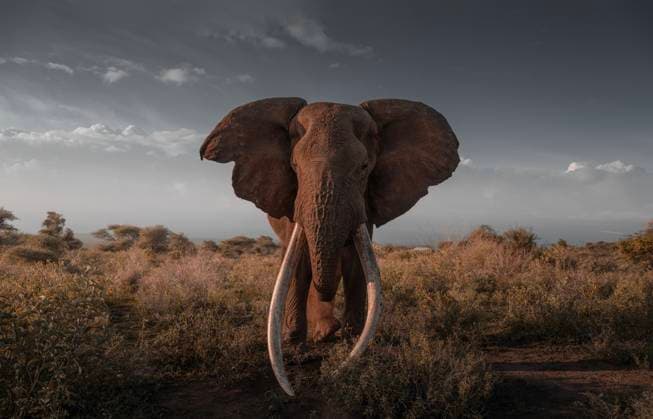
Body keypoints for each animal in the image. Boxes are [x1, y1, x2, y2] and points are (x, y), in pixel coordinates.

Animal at [200, 98, 460, 395]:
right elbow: (300, 264)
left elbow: (356, 263)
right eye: (294, 166)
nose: (295, 391)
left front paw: (349, 345)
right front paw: (297, 353)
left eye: (364, 167)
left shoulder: (365, 202)